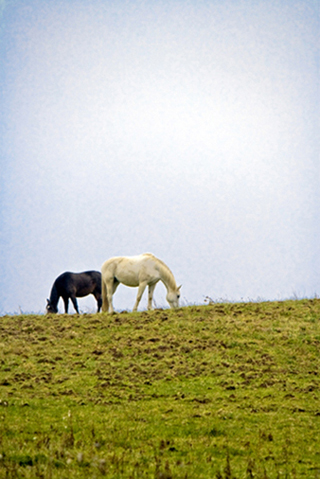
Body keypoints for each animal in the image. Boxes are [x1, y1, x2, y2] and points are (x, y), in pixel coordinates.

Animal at [45, 255, 180, 316]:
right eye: (178, 296)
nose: (177, 309)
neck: (154, 265)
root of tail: (104, 264)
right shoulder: (143, 283)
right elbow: (139, 297)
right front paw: (134, 310)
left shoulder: (152, 284)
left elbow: (150, 297)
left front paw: (150, 309)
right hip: (109, 282)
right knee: (109, 297)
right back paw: (112, 311)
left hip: (115, 283)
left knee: (106, 298)